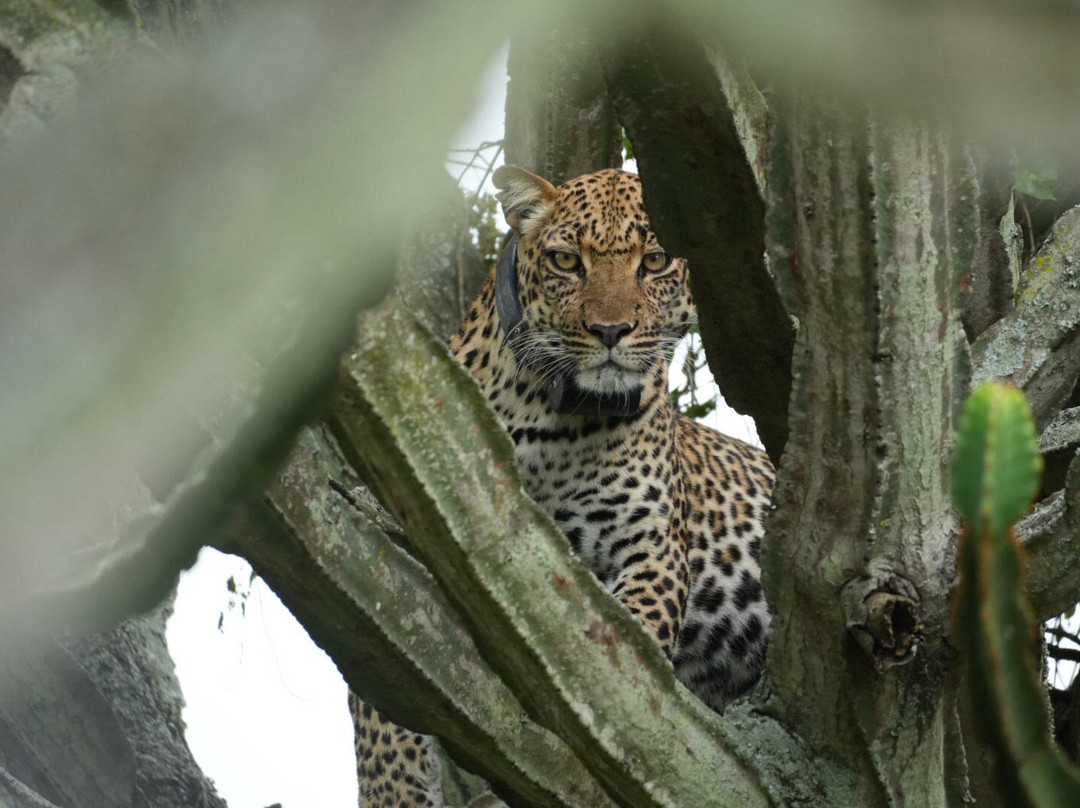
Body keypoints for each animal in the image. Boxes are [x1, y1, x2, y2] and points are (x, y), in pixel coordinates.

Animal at [352, 166, 774, 807]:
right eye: (566, 261)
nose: (610, 331)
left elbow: (621, 661)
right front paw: (396, 789)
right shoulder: (402, 534)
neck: (548, 420)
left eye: (654, 262)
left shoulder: (652, 548)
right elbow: (382, 708)